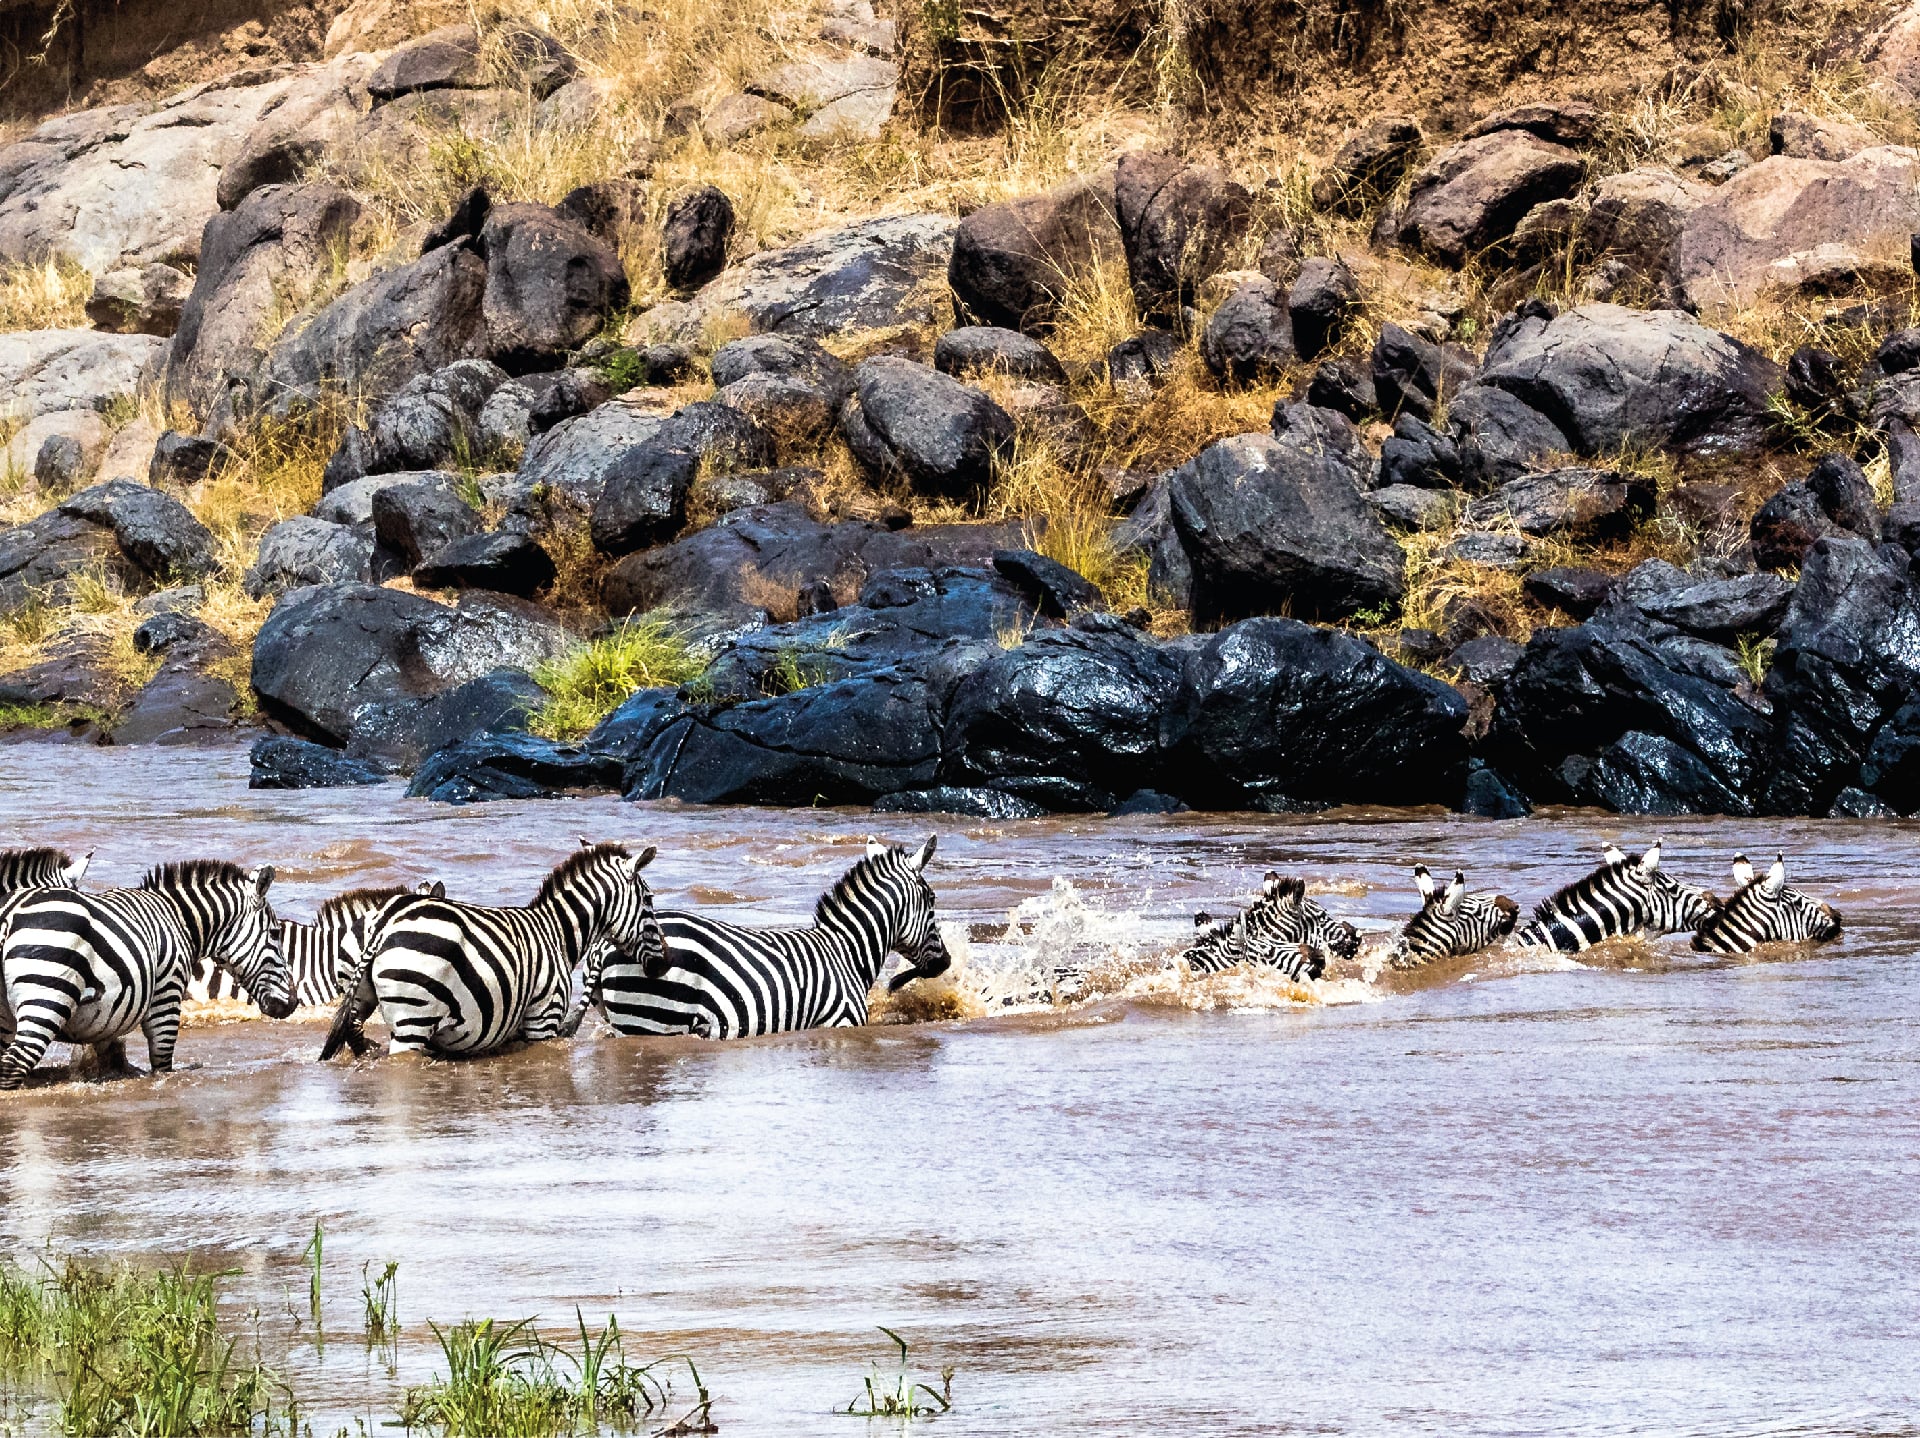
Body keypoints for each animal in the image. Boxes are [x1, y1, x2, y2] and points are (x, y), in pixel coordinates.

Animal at [0, 861, 289, 1090]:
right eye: (276, 934)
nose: (292, 1003)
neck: (178, 920)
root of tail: (8, 916)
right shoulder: (167, 995)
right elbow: (162, 1063)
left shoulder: (108, 1018)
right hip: (46, 997)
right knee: (15, 1064)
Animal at [320, 843, 660, 1060]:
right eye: (649, 900)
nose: (662, 962)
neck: (557, 932)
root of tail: (385, 921)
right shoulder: (543, 1019)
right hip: (411, 1019)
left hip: (360, 998)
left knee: (355, 1035)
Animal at [595, 836, 951, 1039]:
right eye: (932, 899)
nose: (946, 962)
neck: (845, 951)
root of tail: (603, 944)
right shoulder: (840, 1022)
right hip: (654, 1020)